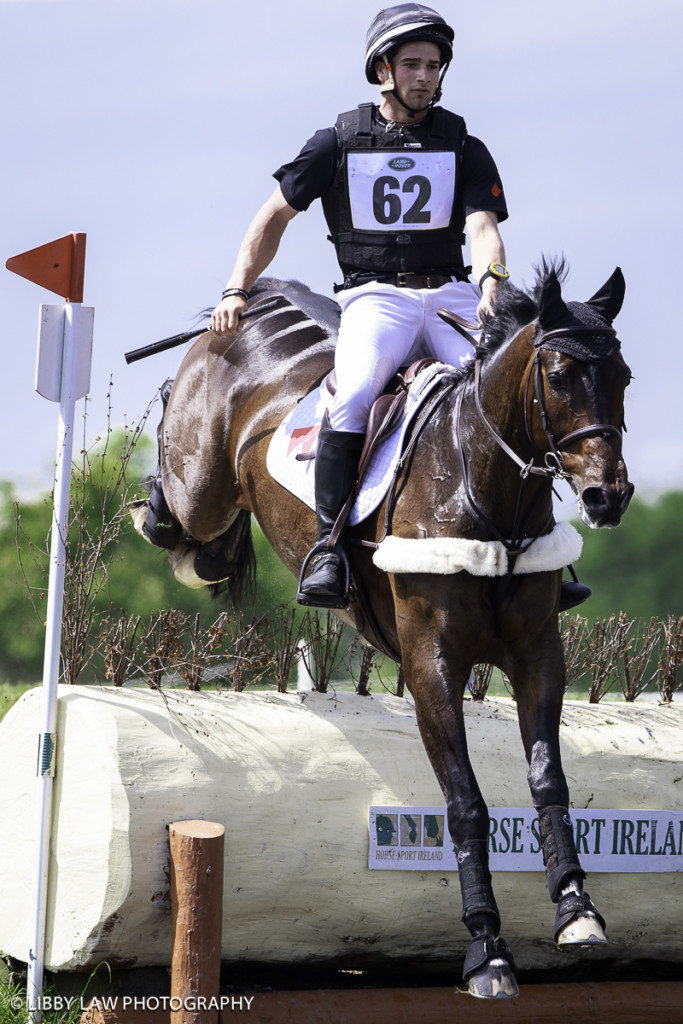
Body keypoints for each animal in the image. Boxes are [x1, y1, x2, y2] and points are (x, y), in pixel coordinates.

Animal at [135, 258, 634, 999]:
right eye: (558, 373)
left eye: (621, 375)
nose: (608, 495)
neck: (480, 485)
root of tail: (256, 304)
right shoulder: (431, 663)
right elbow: (465, 801)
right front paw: (486, 949)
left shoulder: (538, 655)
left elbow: (549, 777)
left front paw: (577, 910)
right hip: (201, 483)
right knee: (187, 505)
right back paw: (162, 509)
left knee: (210, 546)